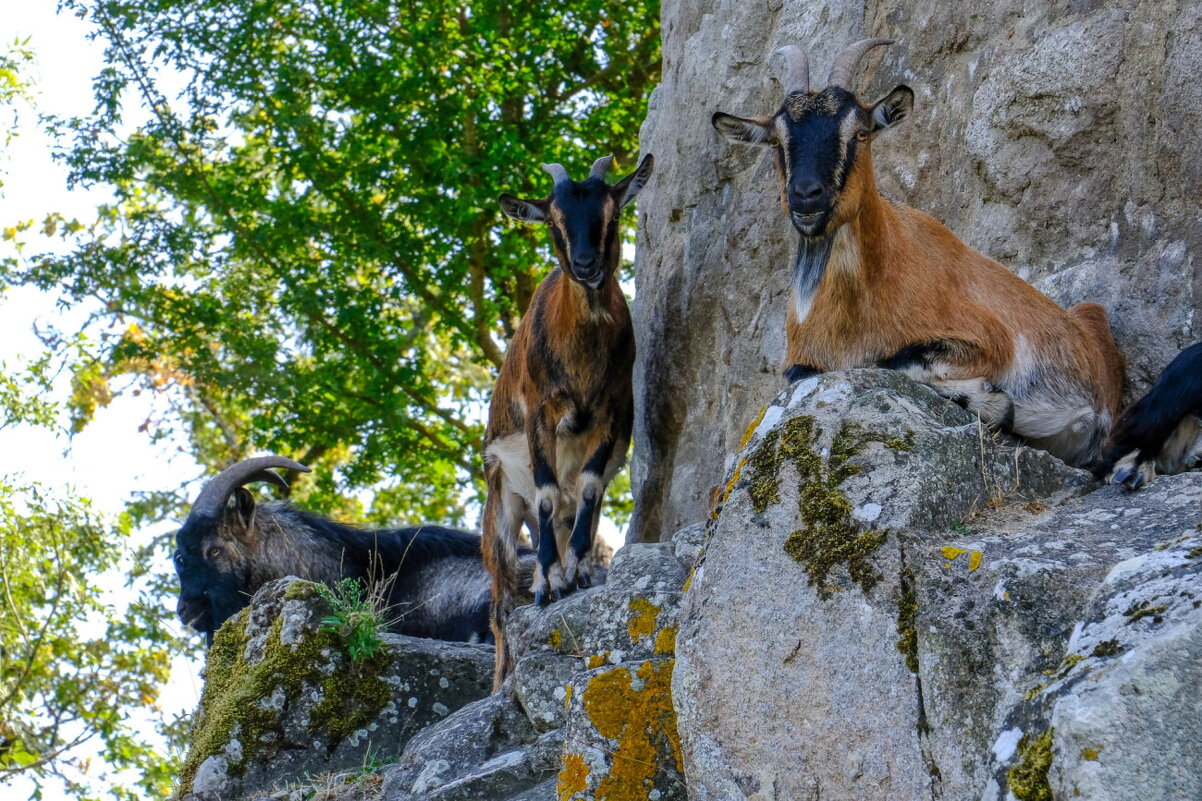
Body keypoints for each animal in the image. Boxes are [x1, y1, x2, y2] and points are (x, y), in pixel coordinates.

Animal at [480, 152, 658, 683]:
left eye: (612, 214)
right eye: (554, 222)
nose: (585, 266)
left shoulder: (612, 413)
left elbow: (591, 489)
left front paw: (577, 572)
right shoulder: (540, 413)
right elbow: (543, 493)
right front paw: (549, 584)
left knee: (562, 514)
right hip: (499, 506)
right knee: (501, 603)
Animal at [706, 40, 1120, 464]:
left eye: (860, 133)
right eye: (776, 140)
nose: (806, 195)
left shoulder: (991, 341)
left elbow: (896, 360)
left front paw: (994, 402)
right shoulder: (799, 364)